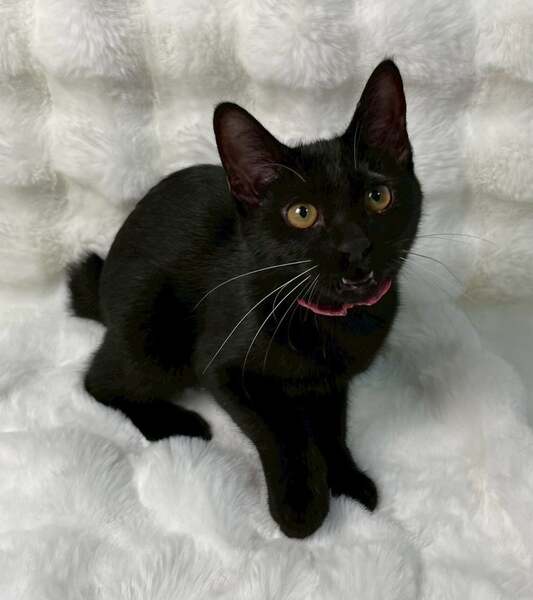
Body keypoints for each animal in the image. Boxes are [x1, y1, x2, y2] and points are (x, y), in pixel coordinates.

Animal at [68, 59, 422, 539]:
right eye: (302, 214)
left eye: (378, 196)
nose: (355, 247)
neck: (330, 320)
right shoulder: (222, 367)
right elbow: (284, 430)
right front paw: (301, 507)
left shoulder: (332, 381)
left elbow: (331, 427)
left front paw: (346, 480)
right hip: (153, 336)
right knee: (100, 382)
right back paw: (178, 424)